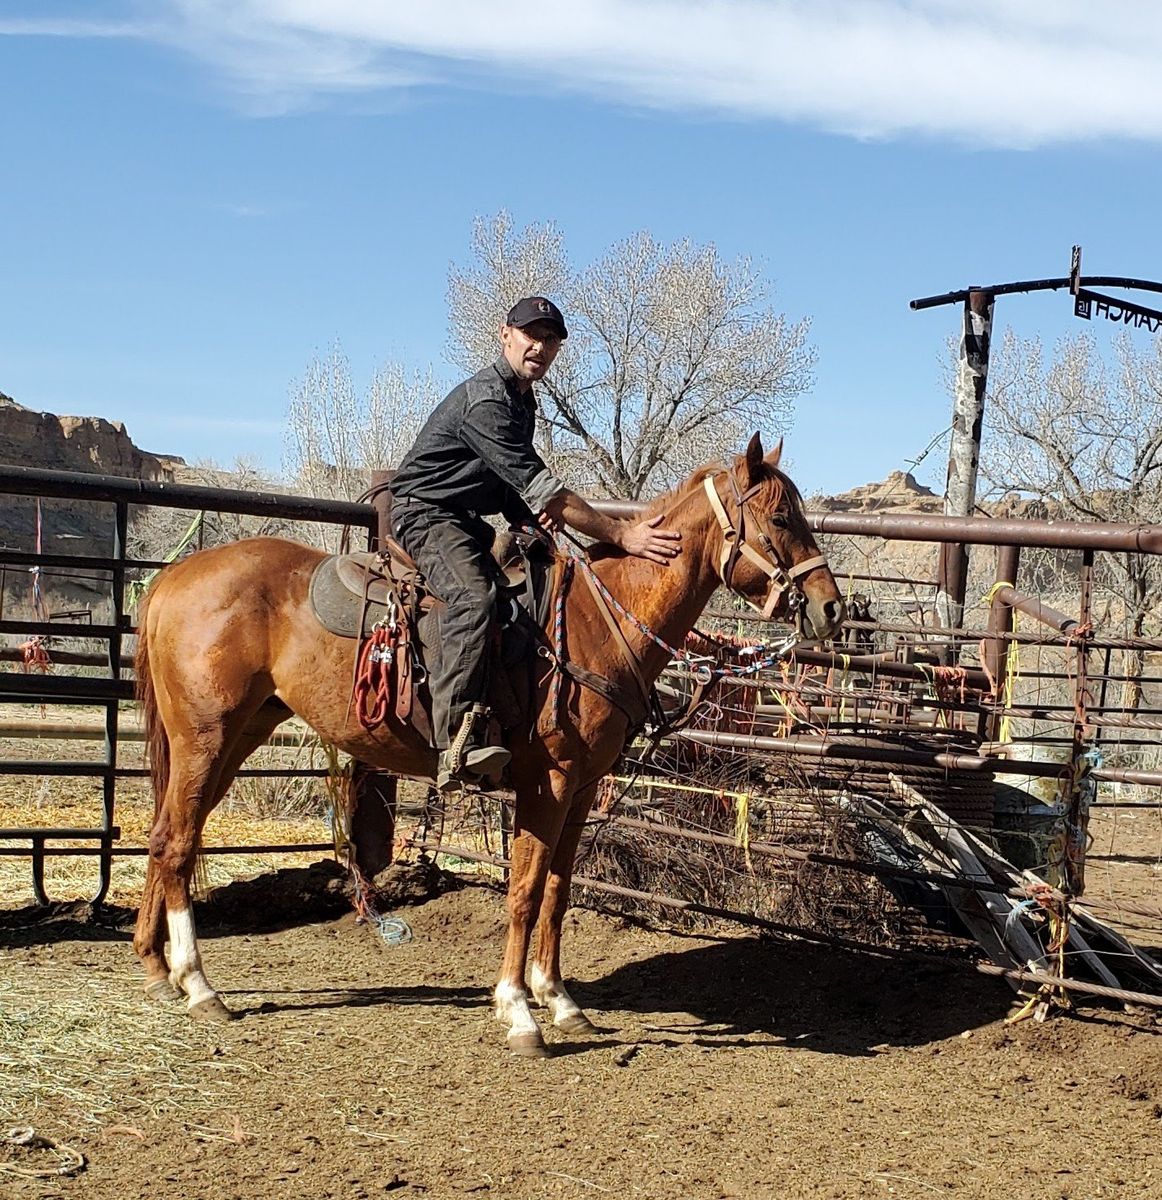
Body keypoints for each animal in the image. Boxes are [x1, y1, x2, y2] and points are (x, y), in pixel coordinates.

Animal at [132, 433, 844, 1056]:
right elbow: (524, 891)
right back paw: (198, 984)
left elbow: (557, 890)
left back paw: (157, 968)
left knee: (170, 834)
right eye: (780, 515)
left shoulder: (580, 790)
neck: (596, 620)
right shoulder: (547, 786)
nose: (832, 607)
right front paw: (518, 1010)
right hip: (205, 737)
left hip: (235, 737)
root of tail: (172, 578)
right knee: (177, 841)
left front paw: (560, 1001)